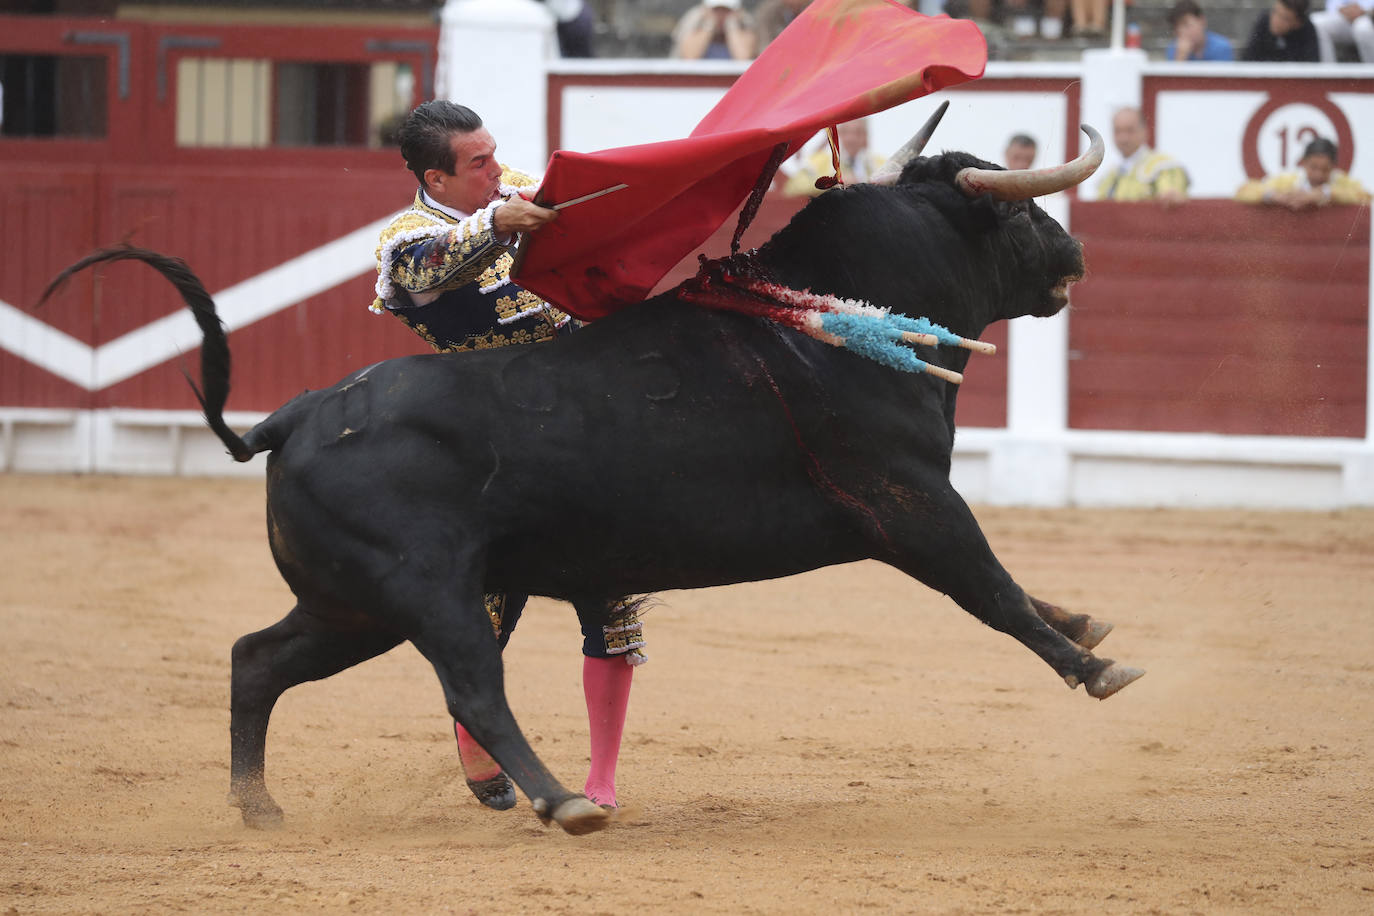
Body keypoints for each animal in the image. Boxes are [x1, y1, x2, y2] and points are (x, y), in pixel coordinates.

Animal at [48, 149, 1143, 840]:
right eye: (1018, 210)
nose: (1079, 257)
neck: (834, 323)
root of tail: (296, 415)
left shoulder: (910, 508)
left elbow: (1013, 590)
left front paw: (1085, 624)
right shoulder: (906, 501)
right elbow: (990, 589)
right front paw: (1097, 668)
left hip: (349, 605)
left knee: (257, 659)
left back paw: (260, 807)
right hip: (422, 592)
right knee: (472, 686)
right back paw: (559, 802)